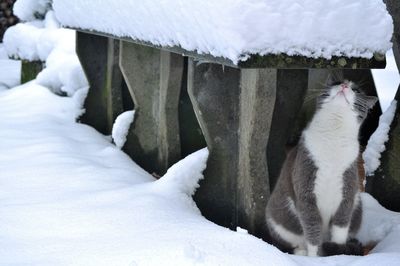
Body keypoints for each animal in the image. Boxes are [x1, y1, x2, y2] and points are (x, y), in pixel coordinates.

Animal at [266, 78, 378, 256]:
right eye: (337, 82)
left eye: (356, 90)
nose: (344, 86)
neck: (334, 135)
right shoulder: (305, 191)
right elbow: (312, 229)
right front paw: (314, 257)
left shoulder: (347, 191)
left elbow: (340, 228)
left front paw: (337, 253)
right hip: (278, 221)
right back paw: (301, 253)